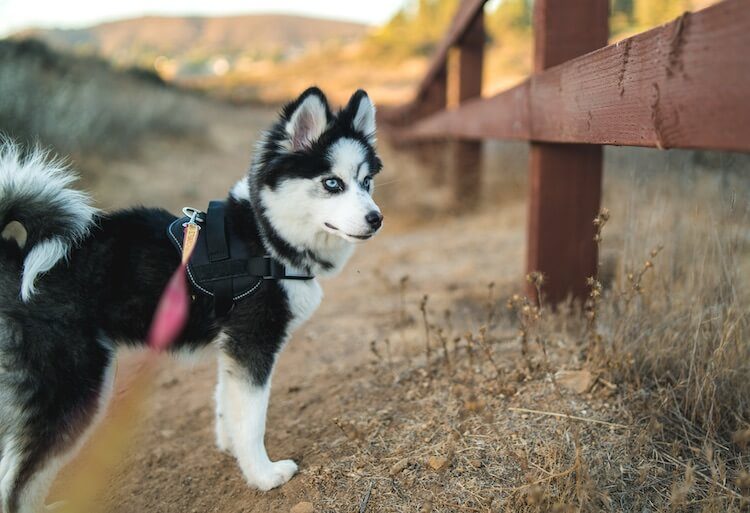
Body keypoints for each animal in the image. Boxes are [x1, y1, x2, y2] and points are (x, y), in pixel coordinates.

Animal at [0, 86, 384, 510]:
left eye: (366, 182)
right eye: (332, 183)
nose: (376, 219)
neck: (265, 236)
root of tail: (17, 257)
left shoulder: (232, 347)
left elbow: (227, 404)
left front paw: (234, 451)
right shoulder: (253, 342)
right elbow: (252, 419)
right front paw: (263, 475)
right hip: (73, 387)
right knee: (17, 478)